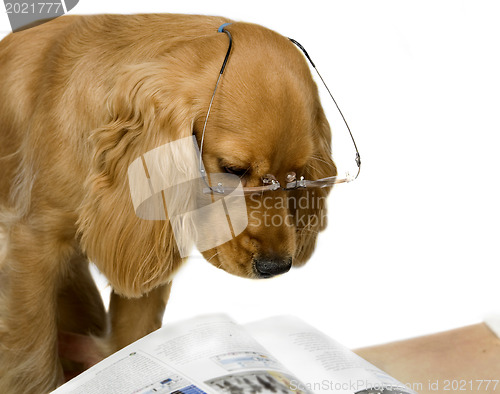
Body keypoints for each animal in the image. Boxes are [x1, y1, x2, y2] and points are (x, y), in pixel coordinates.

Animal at [0, 13, 336, 392]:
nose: (275, 267)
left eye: (297, 177)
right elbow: (34, 361)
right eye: (233, 170)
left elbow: (132, 337)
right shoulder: (34, 246)